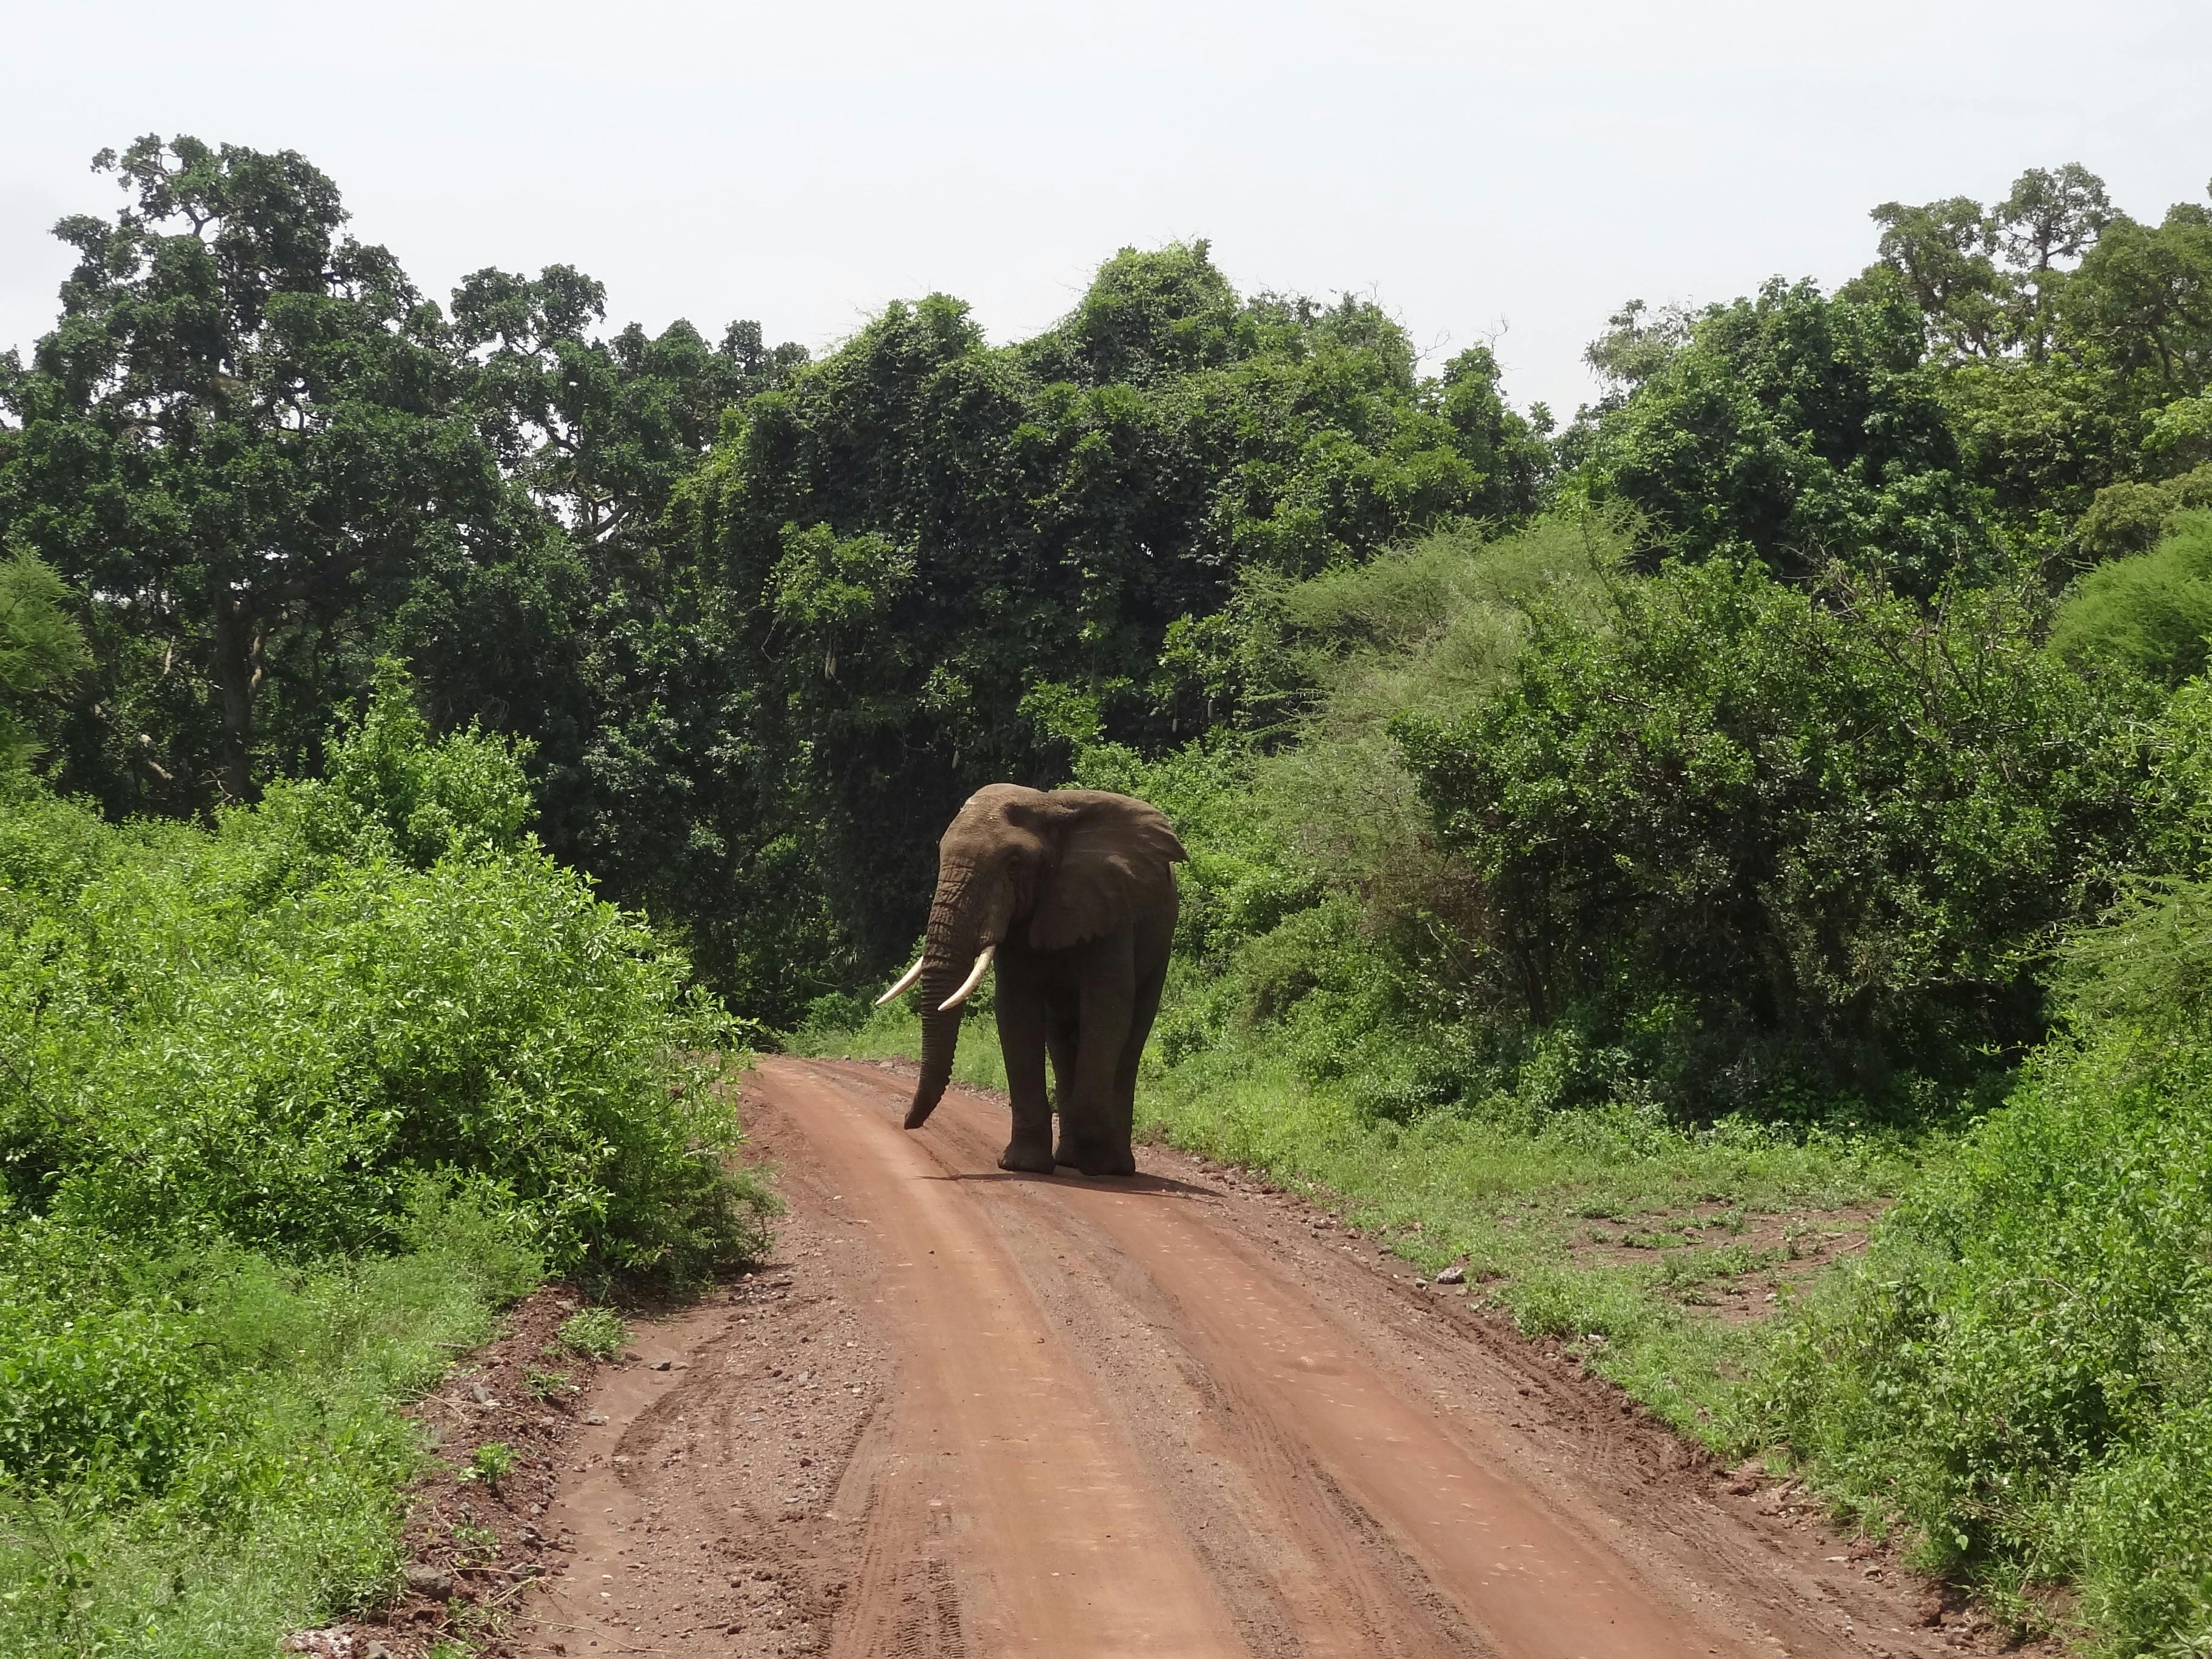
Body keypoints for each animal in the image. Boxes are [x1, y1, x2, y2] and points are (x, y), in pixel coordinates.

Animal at [880, 787, 1194, 1176]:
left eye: (1014, 865)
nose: (907, 1123)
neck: (1048, 806)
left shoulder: (1110, 909)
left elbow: (1107, 1010)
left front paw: (1096, 1163)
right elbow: (1016, 1011)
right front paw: (1025, 1166)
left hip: (1160, 943)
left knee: (1131, 1038)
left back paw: (1114, 1167)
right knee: (1061, 1039)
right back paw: (1070, 1159)